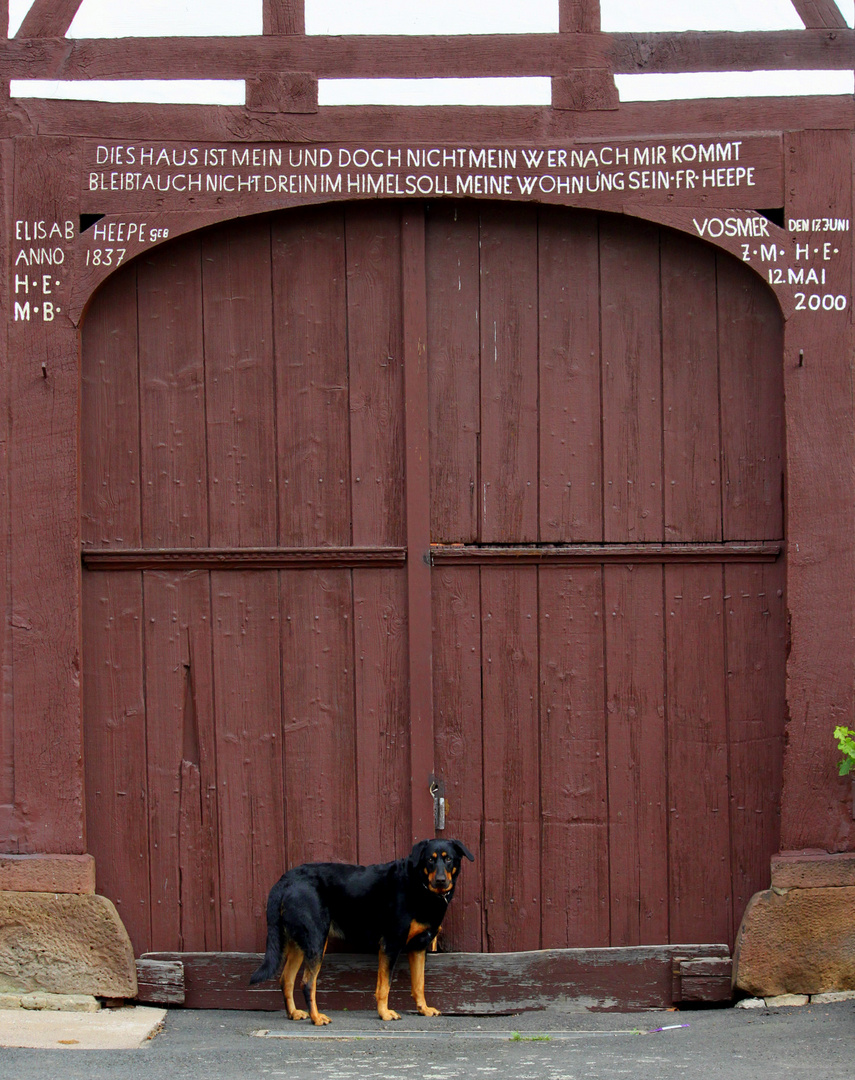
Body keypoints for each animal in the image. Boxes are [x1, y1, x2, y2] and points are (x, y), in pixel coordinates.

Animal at [247, 838, 475, 1023]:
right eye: (430, 860)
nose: (440, 880)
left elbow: (419, 984)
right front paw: (384, 1013)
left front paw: (423, 1009)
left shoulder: (418, 948)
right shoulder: (391, 944)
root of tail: (285, 880)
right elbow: (384, 985)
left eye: (448, 859)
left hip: (299, 943)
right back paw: (316, 1018)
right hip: (316, 940)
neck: (420, 885)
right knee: (307, 983)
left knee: (286, 979)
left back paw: (293, 1013)